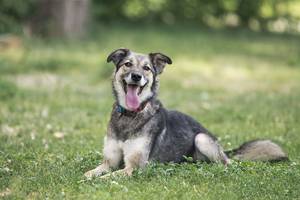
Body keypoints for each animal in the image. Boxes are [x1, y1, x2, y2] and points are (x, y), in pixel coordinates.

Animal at [84, 48, 286, 178]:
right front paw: (87, 177)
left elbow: (107, 178)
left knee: (227, 164)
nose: (136, 76)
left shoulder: (134, 167)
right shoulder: (109, 162)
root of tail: (224, 149)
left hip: (202, 139)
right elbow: (90, 173)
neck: (130, 115)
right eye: (127, 64)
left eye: (146, 68)